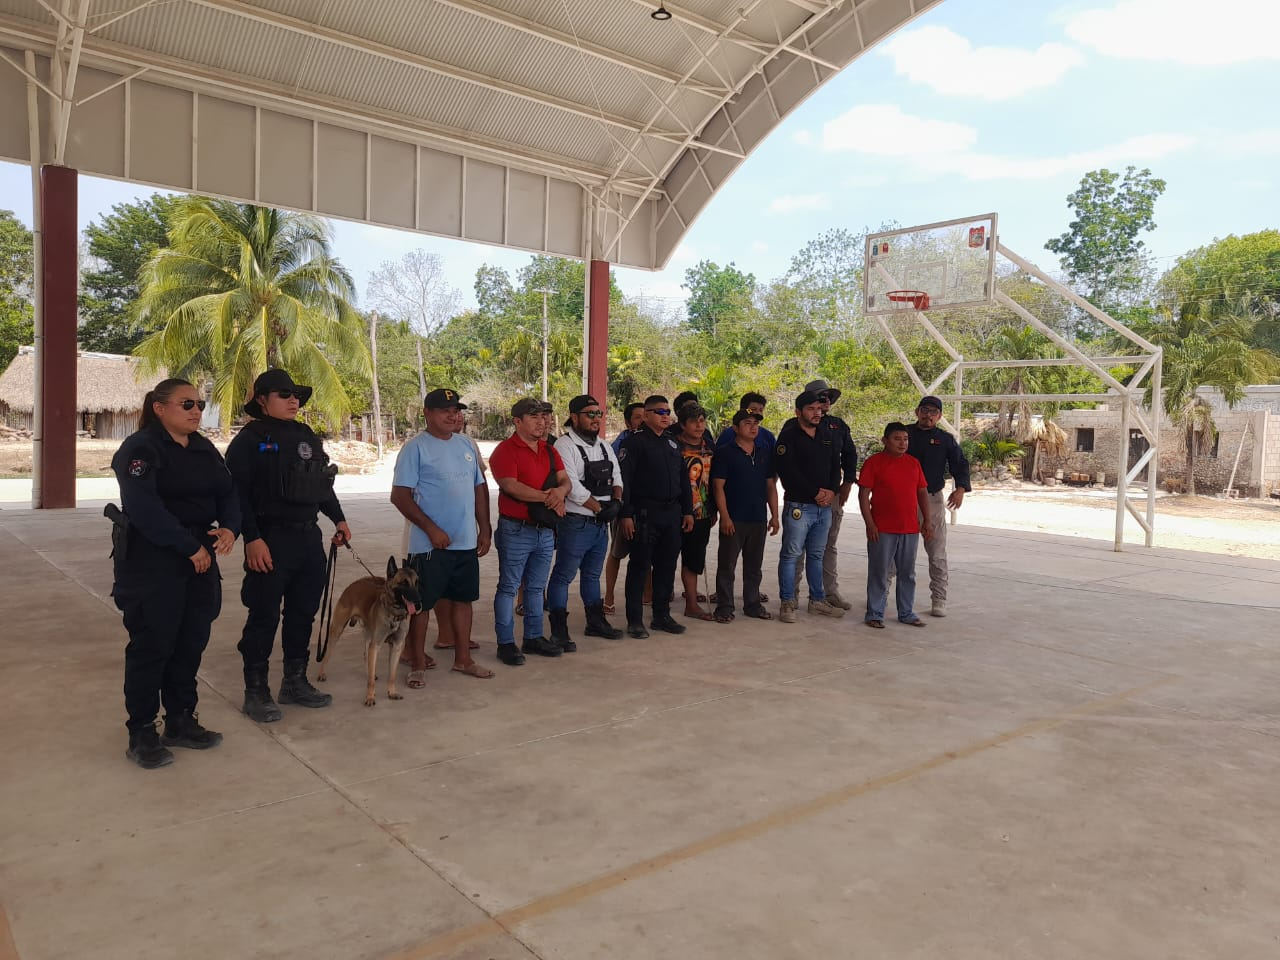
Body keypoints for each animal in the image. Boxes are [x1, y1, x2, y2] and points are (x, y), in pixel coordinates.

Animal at [317, 555, 422, 706]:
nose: (419, 602)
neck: (394, 615)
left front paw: (392, 692)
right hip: (337, 630)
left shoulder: (397, 647)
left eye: (417, 582)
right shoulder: (376, 645)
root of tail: (354, 583)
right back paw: (321, 673)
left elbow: (392, 675)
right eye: (404, 583)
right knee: (327, 653)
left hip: (368, 636)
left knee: (366, 656)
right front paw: (370, 697)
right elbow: (371, 681)